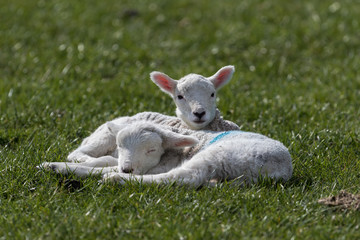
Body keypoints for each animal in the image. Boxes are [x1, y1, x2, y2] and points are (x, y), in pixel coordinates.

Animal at [40, 122, 292, 188]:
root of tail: (282, 170)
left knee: (183, 177)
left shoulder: (159, 166)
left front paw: (58, 166)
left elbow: (101, 168)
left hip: (222, 155)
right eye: (120, 146)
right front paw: (56, 166)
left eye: (151, 149)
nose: (127, 169)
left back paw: (118, 180)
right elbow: (102, 162)